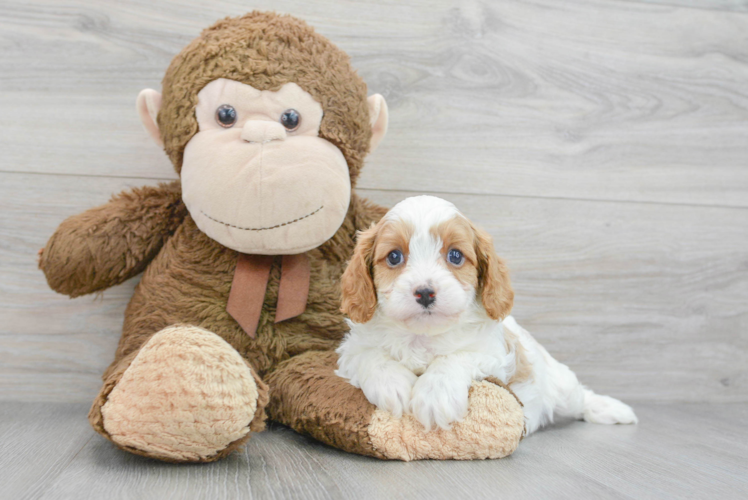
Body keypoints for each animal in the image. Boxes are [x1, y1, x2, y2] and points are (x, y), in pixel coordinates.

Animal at [336, 195, 636, 434]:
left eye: (455, 256)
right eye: (394, 257)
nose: (425, 293)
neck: (423, 336)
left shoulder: (492, 353)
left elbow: (456, 357)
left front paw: (435, 394)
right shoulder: (351, 349)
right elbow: (369, 355)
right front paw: (393, 384)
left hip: (560, 385)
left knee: (581, 397)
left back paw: (612, 409)